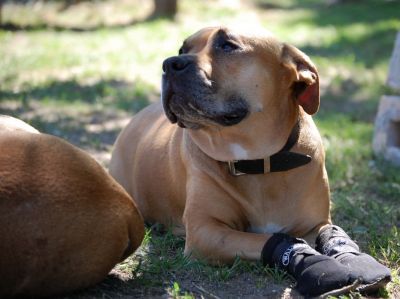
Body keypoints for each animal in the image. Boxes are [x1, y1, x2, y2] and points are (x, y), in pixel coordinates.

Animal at [110, 27, 332, 264]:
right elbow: (264, 239)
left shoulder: (318, 224)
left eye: (227, 45)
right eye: (182, 50)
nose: (170, 63)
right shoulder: (205, 230)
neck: (256, 161)